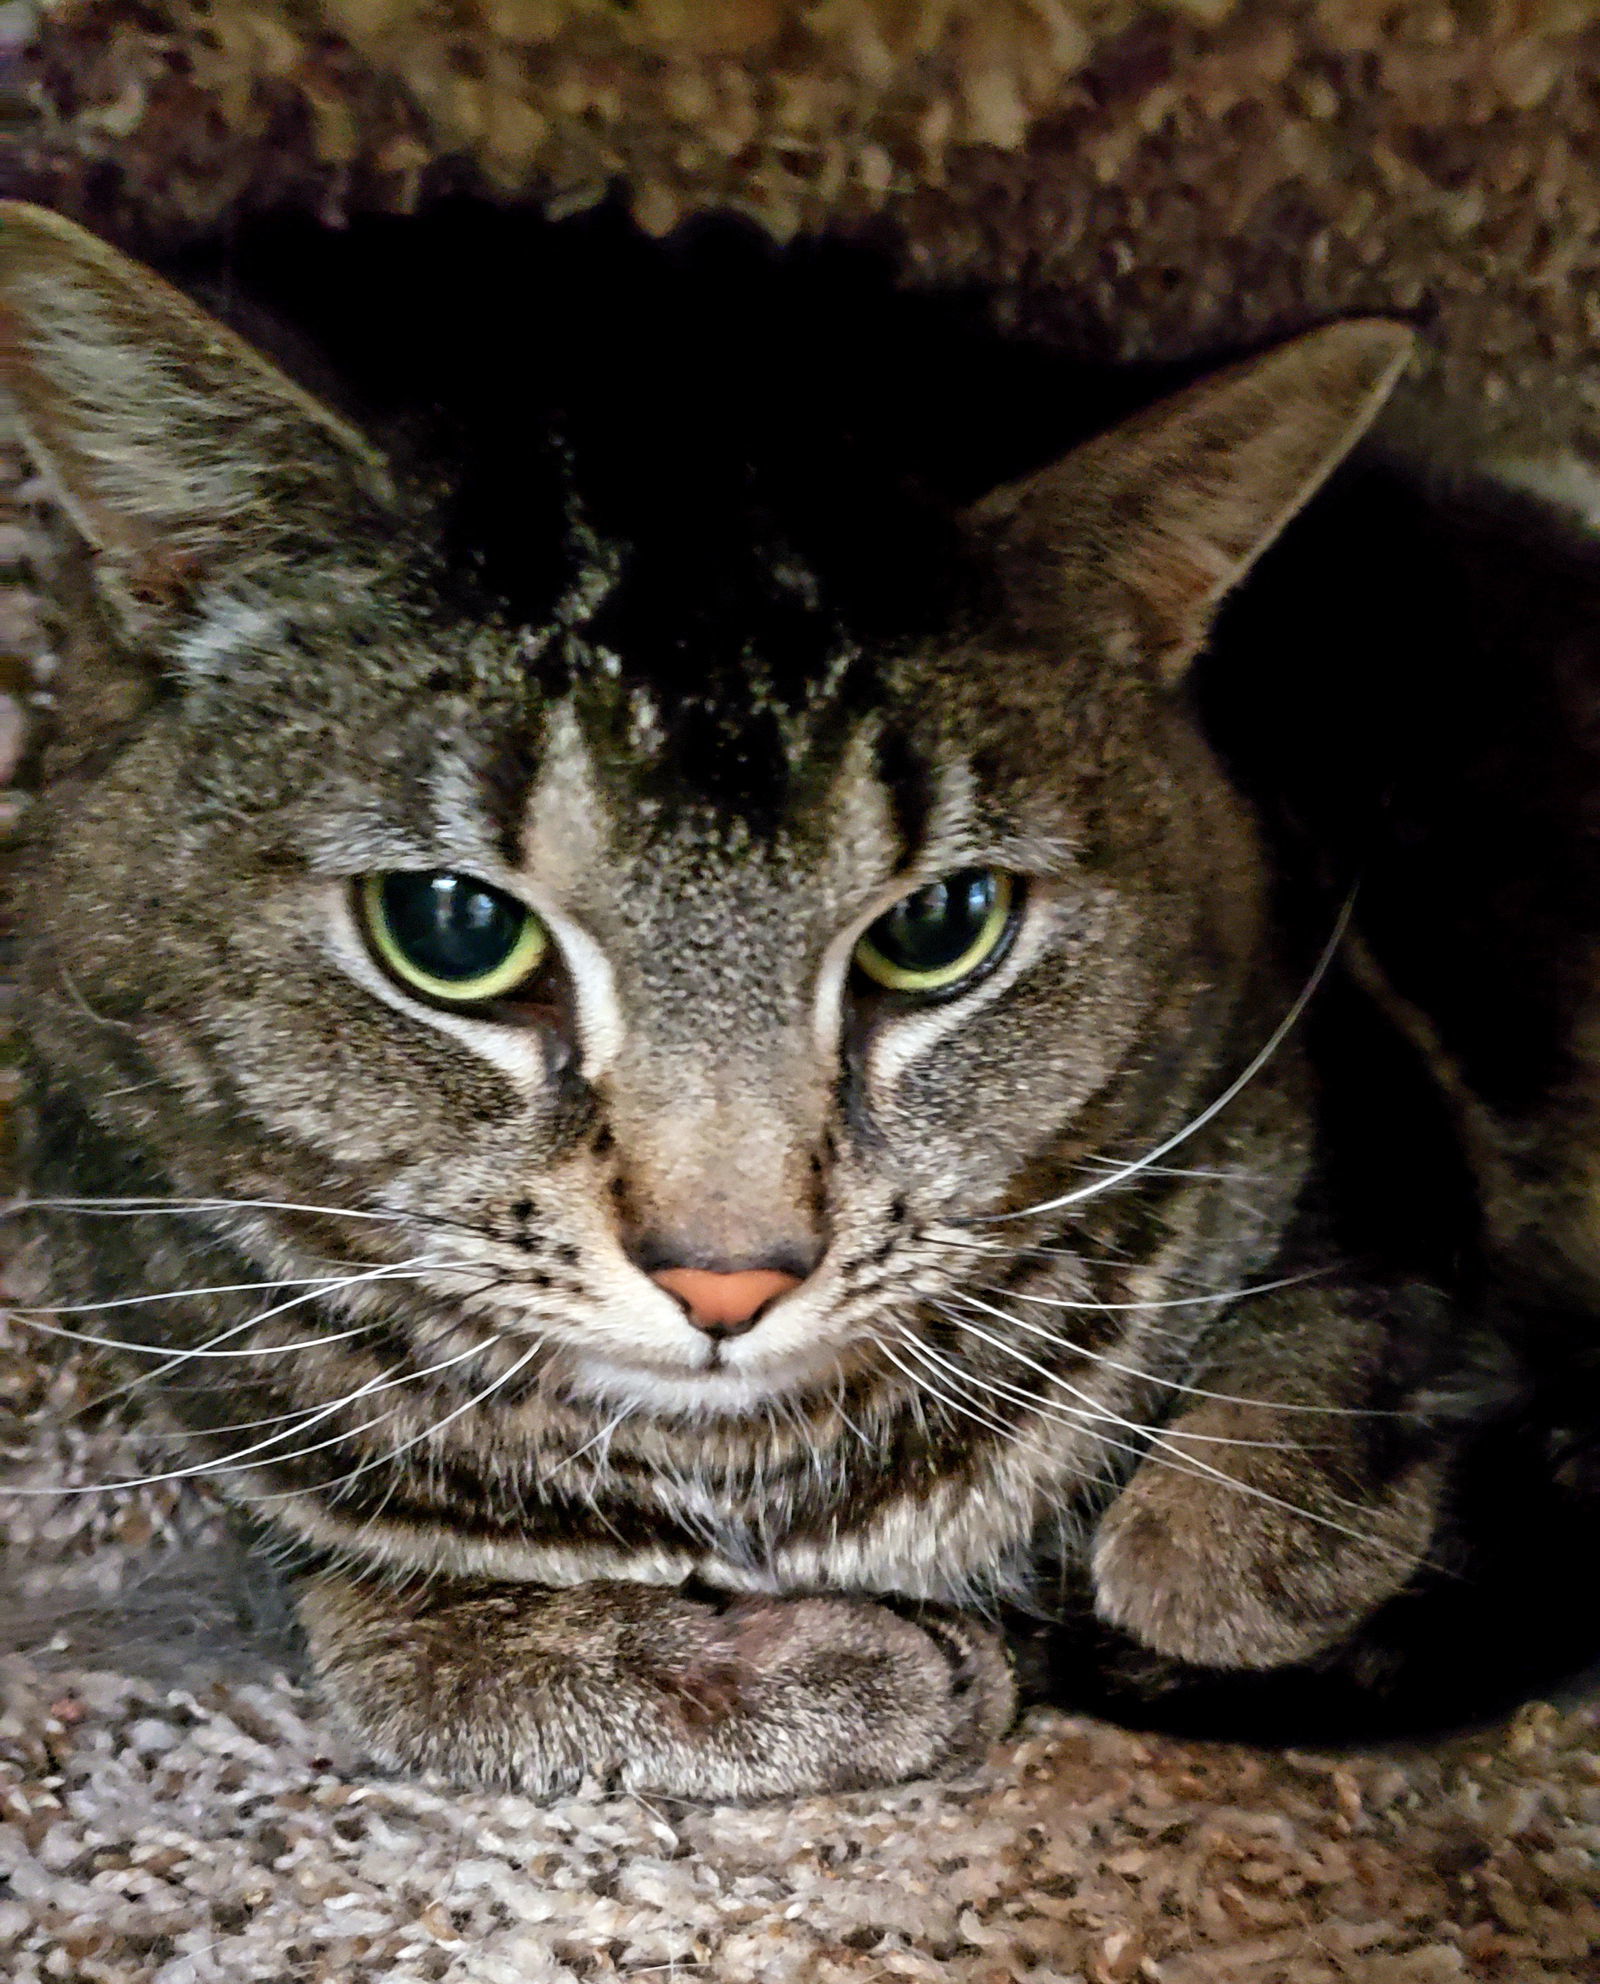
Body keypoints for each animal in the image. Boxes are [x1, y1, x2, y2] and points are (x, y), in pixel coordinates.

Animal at [0, 201, 1500, 1801]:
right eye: (453, 928)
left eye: (940, 926)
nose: (730, 1278)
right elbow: (408, 1651)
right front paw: (839, 1671)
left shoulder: (1330, 1071)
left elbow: (1276, 1430)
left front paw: (1206, 1545)